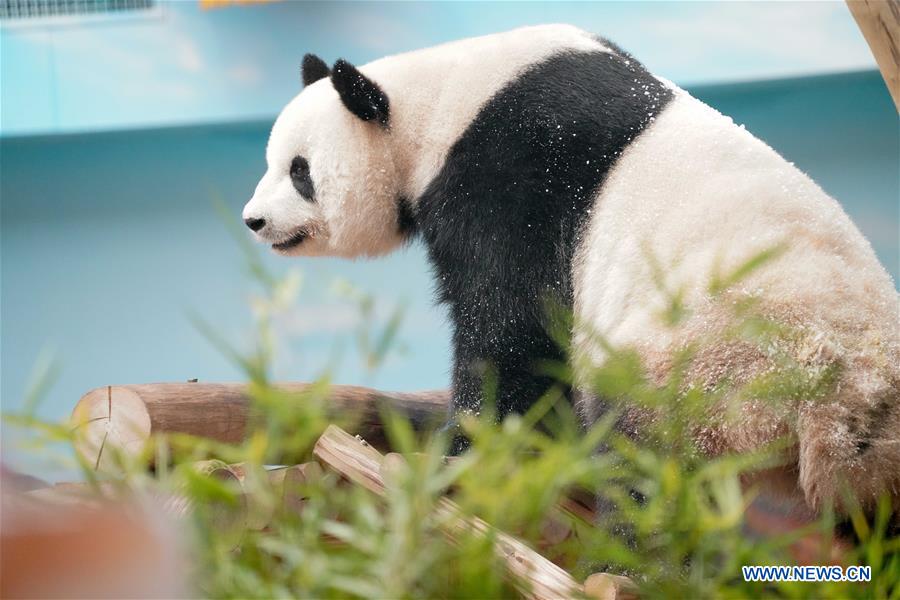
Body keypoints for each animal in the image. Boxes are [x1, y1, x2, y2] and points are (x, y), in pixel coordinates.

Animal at [242, 25, 900, 518]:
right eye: (272, 162)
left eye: (300, 172)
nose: (253, 220)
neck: (438, 100)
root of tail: (840, 406)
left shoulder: (512, 176)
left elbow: (509, 332)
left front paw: (460, 451)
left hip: (714, 363)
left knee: (647, 461)